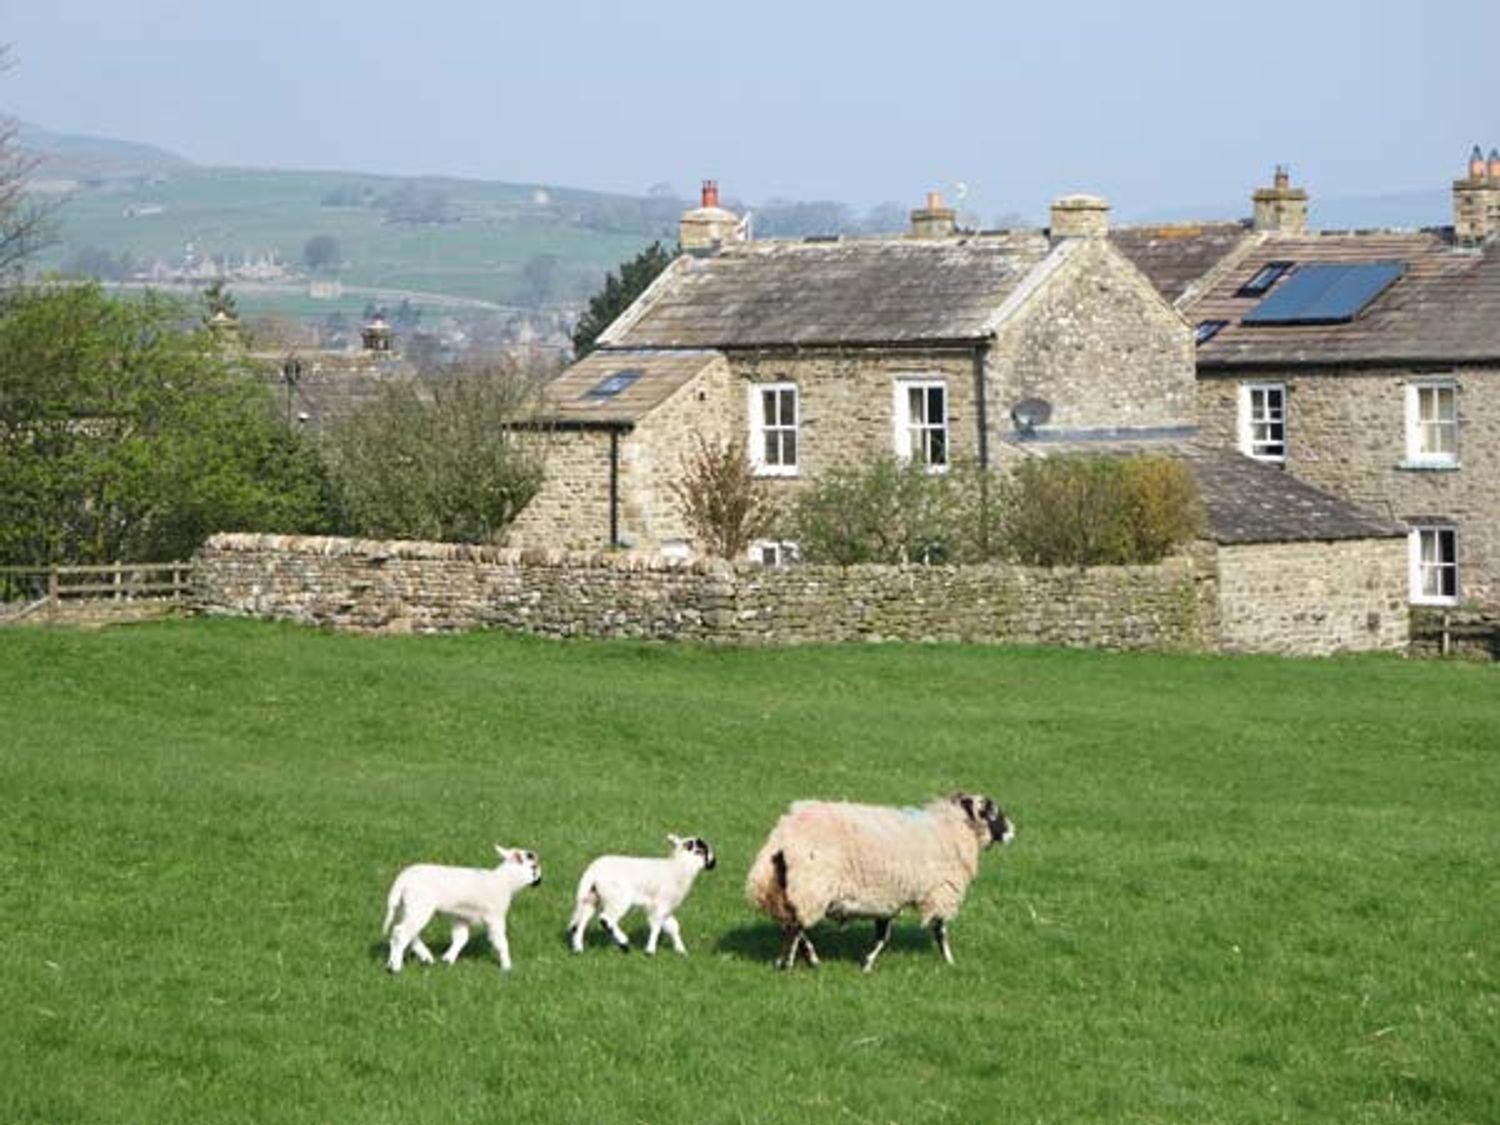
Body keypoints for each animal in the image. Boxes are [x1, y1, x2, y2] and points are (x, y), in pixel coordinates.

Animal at [384, 852, 543, 972]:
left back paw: (413, 959)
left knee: (405, 933)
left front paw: (448, 959)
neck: (504, 882)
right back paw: (396, 967)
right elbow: (502, 942)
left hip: (407, 908)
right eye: (533, 866)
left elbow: (461, 938)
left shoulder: (461, 915)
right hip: (419, 906)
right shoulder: (495, 916)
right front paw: (507, 967)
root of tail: (402, 879)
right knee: (401, 932)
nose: (540, 880)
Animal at [567, 840, 720, 960]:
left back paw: (578, 949)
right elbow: (656, 926)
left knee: (580, 923)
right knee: (605, 919)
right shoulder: (661, 904)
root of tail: (593, 871)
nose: (714, 862)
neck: (677, 868)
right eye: (703, 850)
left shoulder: (664, 908)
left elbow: (673, 926)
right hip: (618, 899)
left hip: (591, 898)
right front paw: (650, 951)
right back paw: (624, 944)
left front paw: (681, 950)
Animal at [744, 798, 1014, 972]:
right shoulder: (940, 892)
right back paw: (790, 963)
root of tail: (781, 841)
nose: (1012, 831)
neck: (951, 828)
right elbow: (939, 931)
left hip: (786, 890)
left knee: (792, 925)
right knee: (795, 928)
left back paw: (806, 959)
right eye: (993, 812)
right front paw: (949, 961)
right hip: (811, 888)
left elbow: (883, 936)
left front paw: (867, 962)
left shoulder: (887, 900)